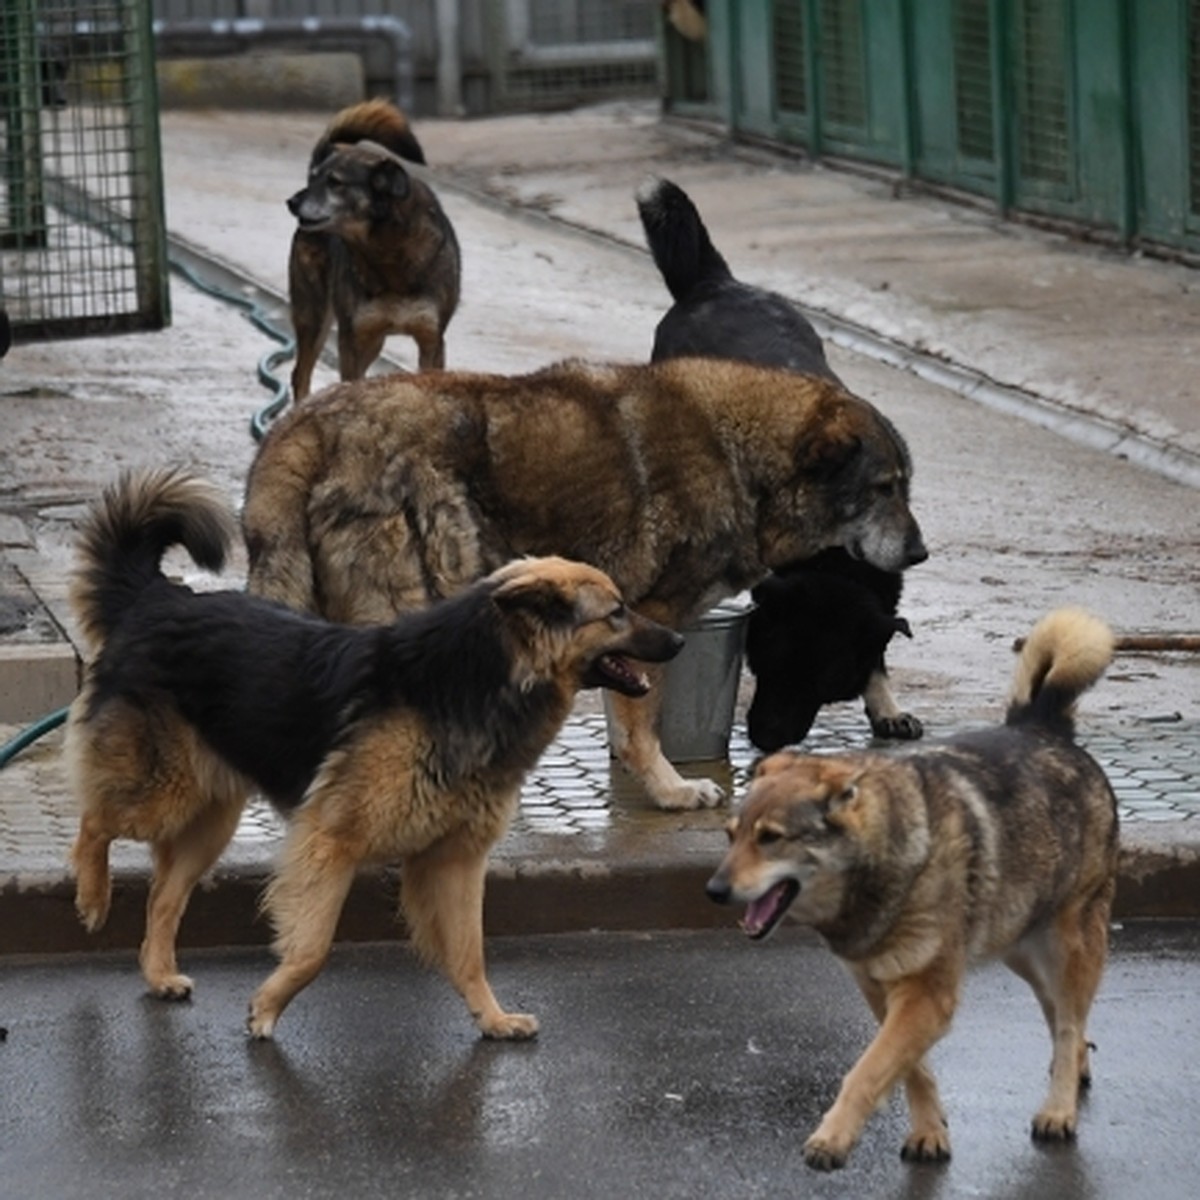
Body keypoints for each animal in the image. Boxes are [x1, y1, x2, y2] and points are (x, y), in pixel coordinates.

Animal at [68, 463, 686, 1036]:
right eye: (616, 612)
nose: (680, 639)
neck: (478, 680)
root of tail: (155, 598)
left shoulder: (455, 859)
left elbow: (470, 953)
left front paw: (492, 1018)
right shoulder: (330, 844)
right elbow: (313, 949)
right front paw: (266, 1007)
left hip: (211, 822)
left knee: (162, 896)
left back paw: (158, 973)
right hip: (161, 793)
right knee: (94, 824)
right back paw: (94, 899)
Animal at [246, 350, 926, 811]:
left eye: (905, 487)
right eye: (883, 489)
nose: (919, 552)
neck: (741, 459)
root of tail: (302, 424)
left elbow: (626, 721)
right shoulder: (654, 616)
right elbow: (641, 728)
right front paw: (673, 792)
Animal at [288, 98, 460, 398]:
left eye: (335, 182)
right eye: (316, 178)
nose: (291, 202)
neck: (387, 253)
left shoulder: (431, 339)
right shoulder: (352, 339)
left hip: (373, 342)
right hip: (314, 317)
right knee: (300, 375)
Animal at [633, 175, 921, 748]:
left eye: (826, 685)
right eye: (765, 663)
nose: (765, 739)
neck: (832, 554)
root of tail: (716, 283)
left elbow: (878, 651)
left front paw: (885, 703)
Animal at [705, 604, 1118, 1166]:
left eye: (770, 838)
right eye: (732, 836)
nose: (714, 891)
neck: (887, 864)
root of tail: (1043, 727)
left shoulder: (927, 994)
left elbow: (868, 1069)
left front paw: (833, 1136)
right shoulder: (881, 990)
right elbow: (908, 1069)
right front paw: (928, 1131)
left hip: (1069, 943)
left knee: (1071, 1017)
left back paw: (1059, 1108)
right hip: (1019, 944)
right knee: (1060, 1016)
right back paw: (1075, 1069)